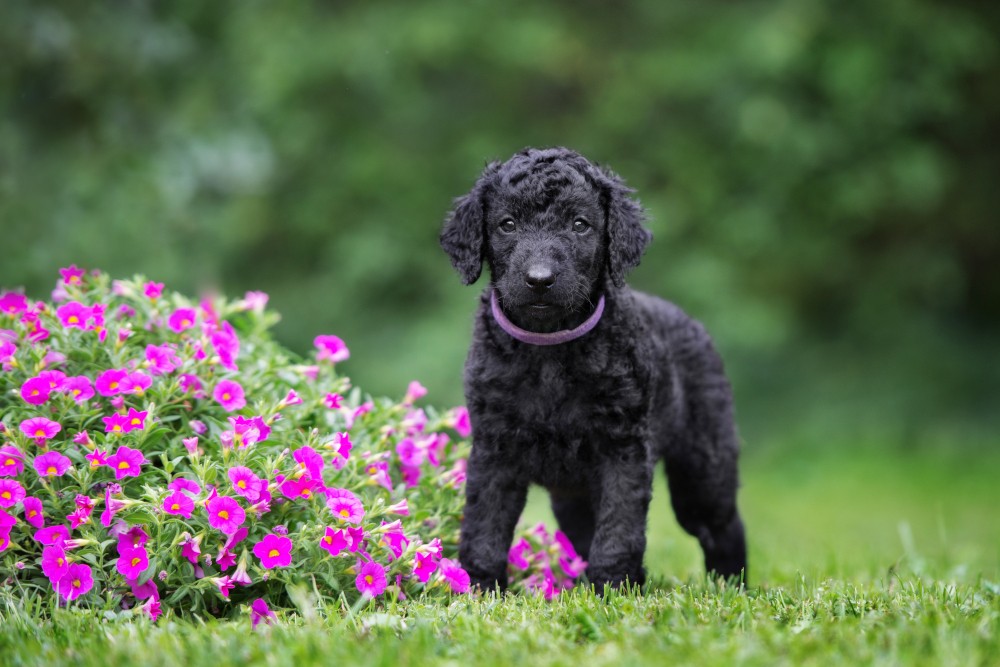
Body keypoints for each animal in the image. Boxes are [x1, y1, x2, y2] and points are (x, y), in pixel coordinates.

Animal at [442, 149, 748, 592]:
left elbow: (619, 526)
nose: (539, 280)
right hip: (572, 497)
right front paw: (479, 587)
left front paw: (614, 587)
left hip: (703, 466)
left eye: (579, 225)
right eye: (508, 224)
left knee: (722, 525)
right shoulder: (494, 448)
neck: (550, 349)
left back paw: (731, 584)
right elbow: (486, 523)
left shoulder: (623, 447)